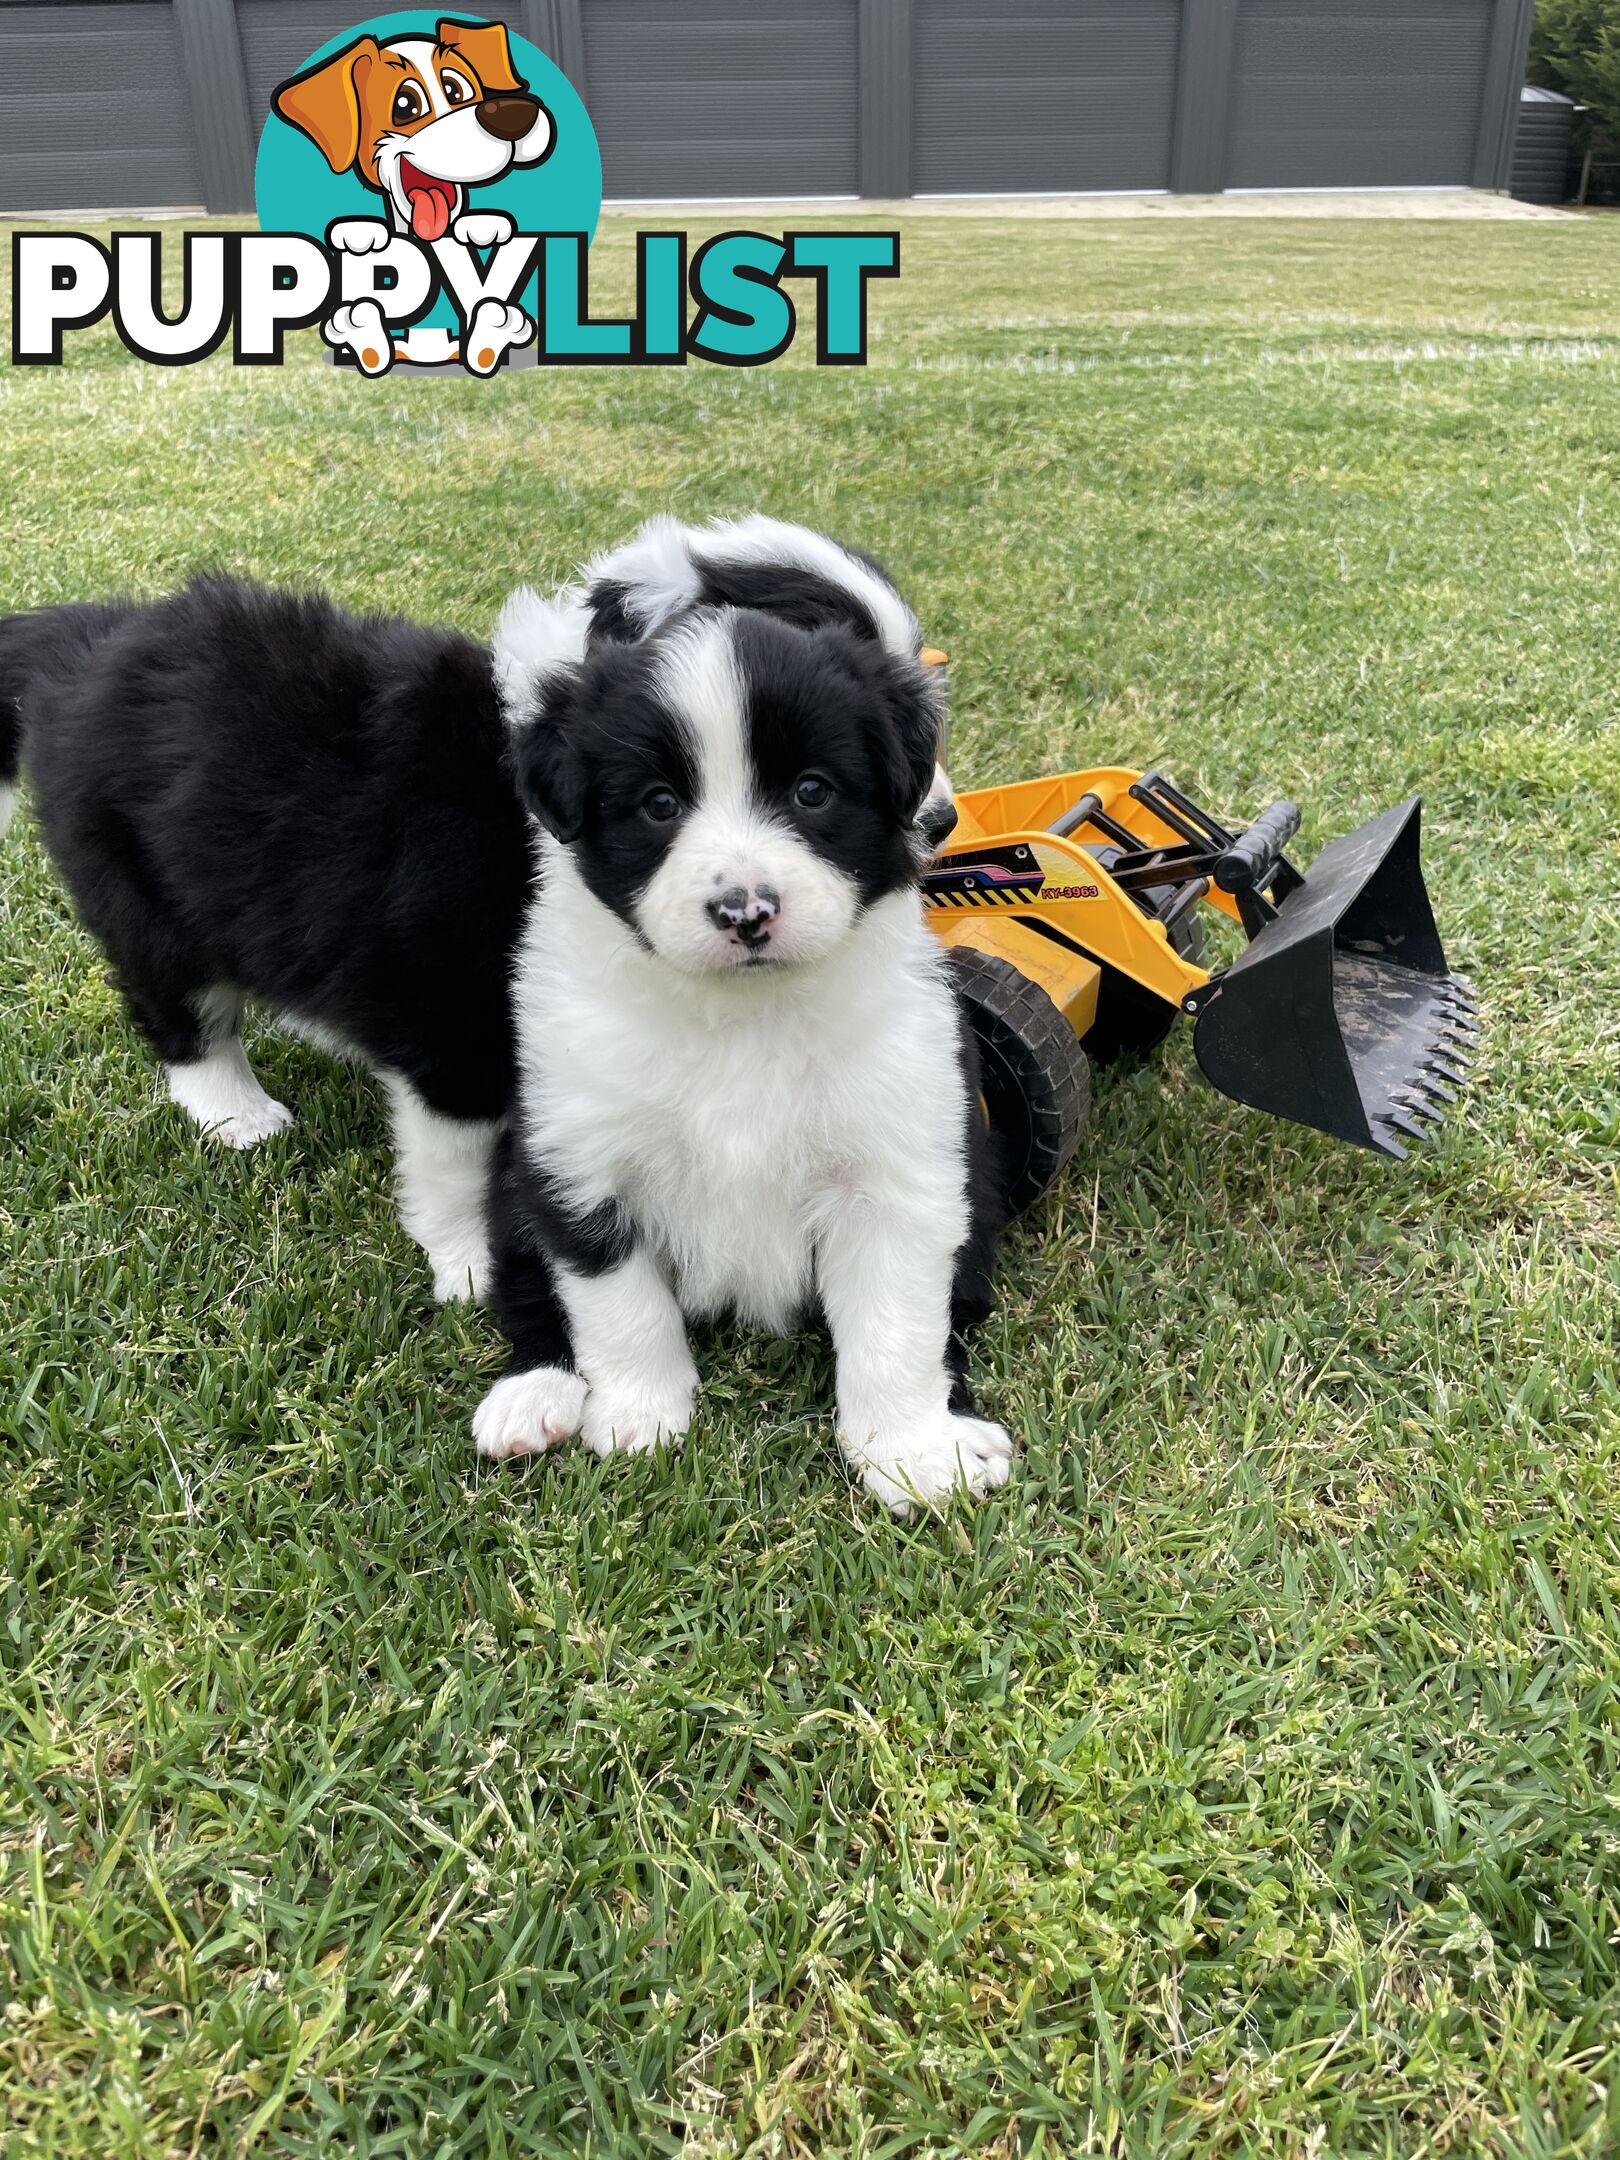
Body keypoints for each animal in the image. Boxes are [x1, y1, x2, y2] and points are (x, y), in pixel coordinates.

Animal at [468, 583, 1010, 1512]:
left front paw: (906, 1451)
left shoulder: (896, 1169)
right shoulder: (579, 1157)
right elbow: (618, 1300)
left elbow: (897, 1328)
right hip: (514, 1178)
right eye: (657, 804)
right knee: (529, 1288)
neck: (742, 1017)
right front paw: (640, 1414)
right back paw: (533, 1395)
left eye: (812, 790)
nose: (745, 910)